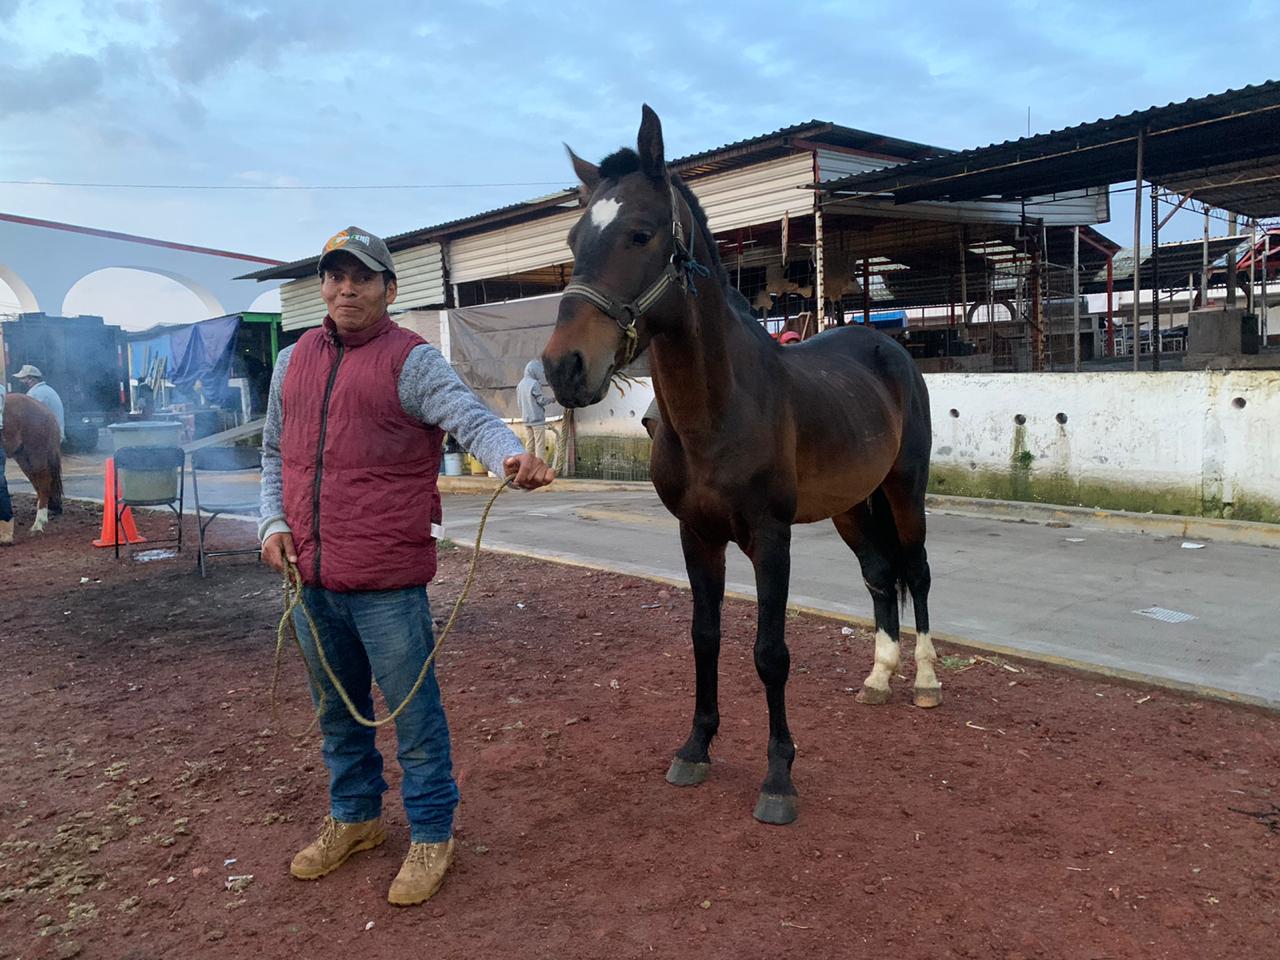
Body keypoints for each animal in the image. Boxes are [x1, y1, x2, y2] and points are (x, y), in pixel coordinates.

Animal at [1, 394, 63, 537]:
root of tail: (46, 410)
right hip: (24, 459)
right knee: (38, 484)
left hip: (36, 456)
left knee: (43, 483)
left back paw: (38, 523)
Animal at [537, 106, 931, 829]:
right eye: (575, 238)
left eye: (641, 233)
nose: (564, 367)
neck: (719, 412)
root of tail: (886, 346)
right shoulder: (698, 536)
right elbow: (705, 637)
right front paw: (695, 747)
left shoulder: (770, 539)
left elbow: (771, 655)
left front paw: (778, 777)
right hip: (849, 507)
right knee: (879, 574)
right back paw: (879, 677)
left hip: (903, 490)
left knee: (914, 571)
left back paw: (926, 680)